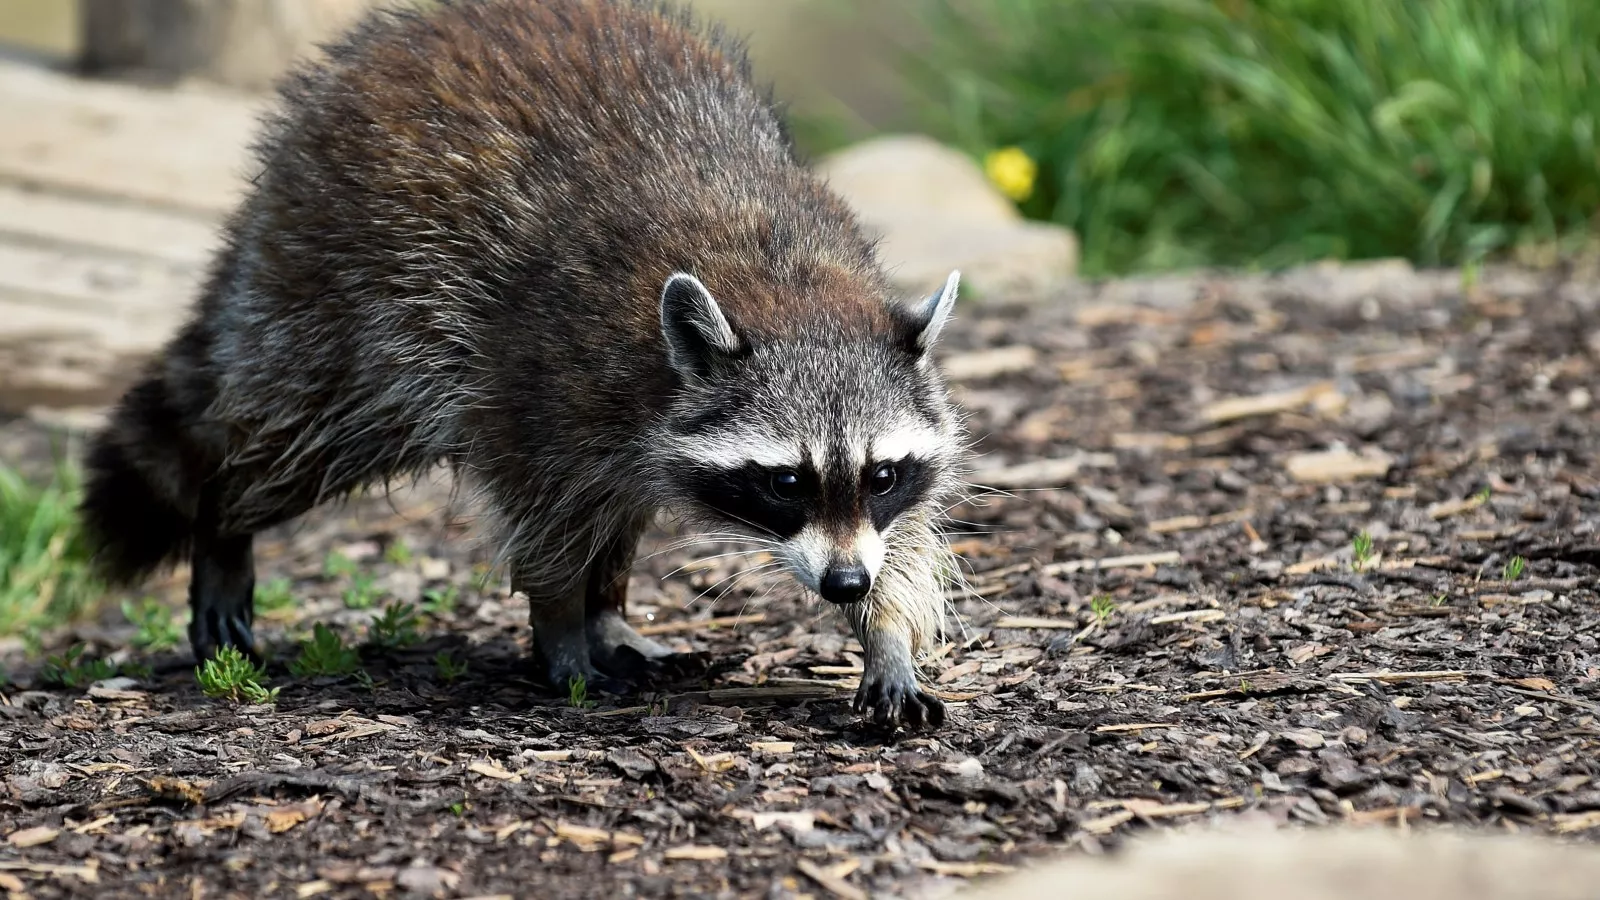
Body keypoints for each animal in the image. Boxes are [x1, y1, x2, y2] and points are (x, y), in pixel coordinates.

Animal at [78, 0, 969, 728]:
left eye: (881, 474)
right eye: (786, 481)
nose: (844, 585)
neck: (786, 284)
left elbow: (903, 542)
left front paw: (888, 633)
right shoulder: (541, 377)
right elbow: (542, 518)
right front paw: (560, 626)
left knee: (617, 502)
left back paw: (610, 609)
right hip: (344, 297)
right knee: (303, 438)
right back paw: (224, 523)